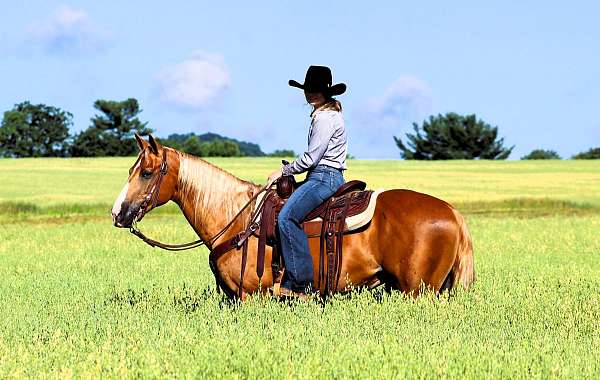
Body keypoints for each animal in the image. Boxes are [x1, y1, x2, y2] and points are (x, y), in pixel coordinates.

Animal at [112, 134, 476, 300]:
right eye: (130, 170)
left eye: (146, 173)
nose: (118, 213)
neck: (238, 220)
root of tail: (452, 213)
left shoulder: (253, 297)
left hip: (418, 292)